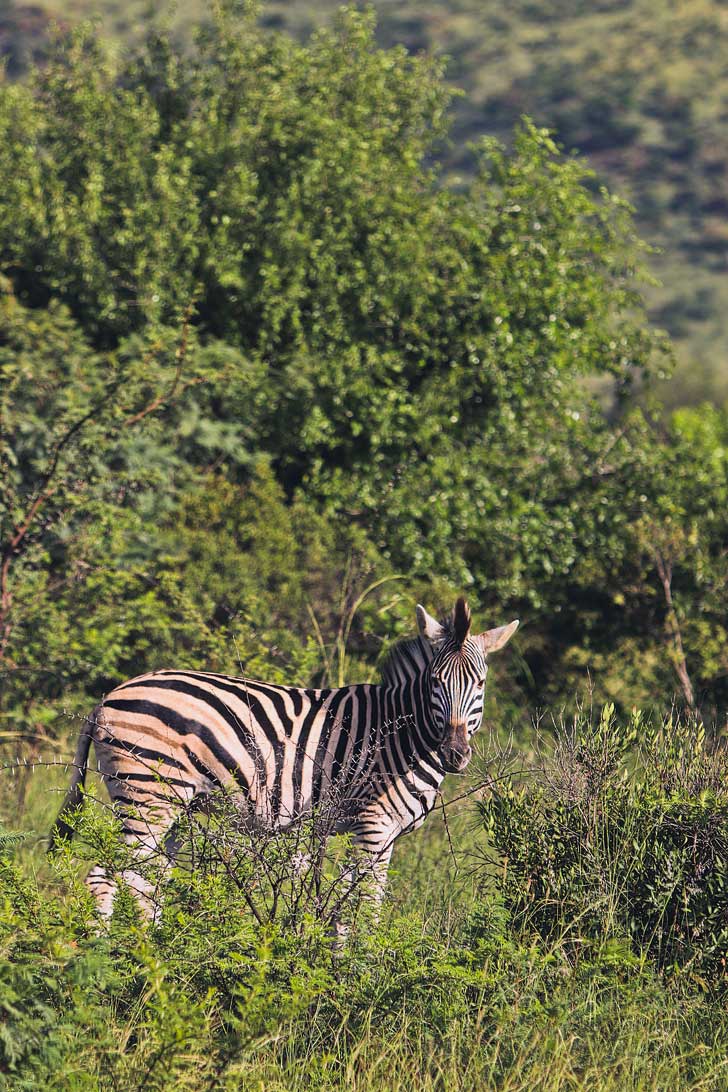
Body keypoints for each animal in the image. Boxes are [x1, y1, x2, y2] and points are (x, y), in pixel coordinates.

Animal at [51, 602, 517, 926]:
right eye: (436, 683)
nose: (455, 753)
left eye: (479, 683)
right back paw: (115, 969)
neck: (402, 733)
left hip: (171, 804)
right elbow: (366, 906)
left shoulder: (367, 831)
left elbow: (341, 904)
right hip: (147, 794)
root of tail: (107, 697)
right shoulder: (374, 823)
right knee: (107, 877)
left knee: (144, 881)